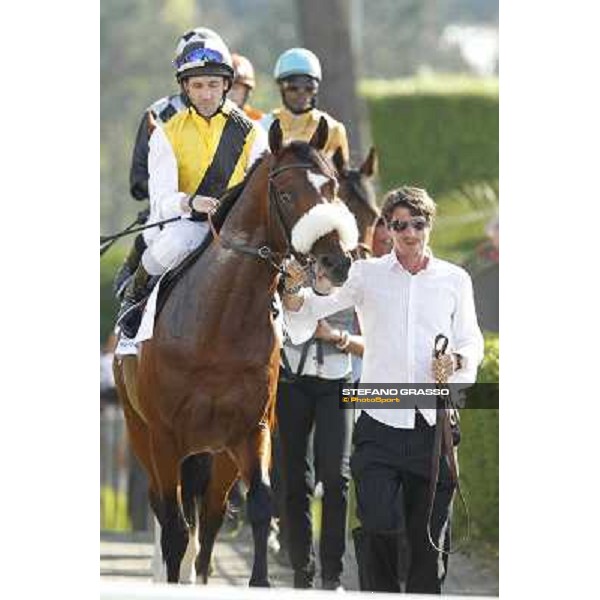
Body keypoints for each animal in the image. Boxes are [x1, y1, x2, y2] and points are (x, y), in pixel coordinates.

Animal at [112, 118, 358, 584]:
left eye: (332, 187)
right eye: (286, 193)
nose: (336, 262)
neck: (216, 329)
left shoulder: (251, 429)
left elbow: (258, 506)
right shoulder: (165, 437)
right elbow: (174, 529)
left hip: (214, 453)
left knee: (208, 520)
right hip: (141, 434)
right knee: (168, 512)